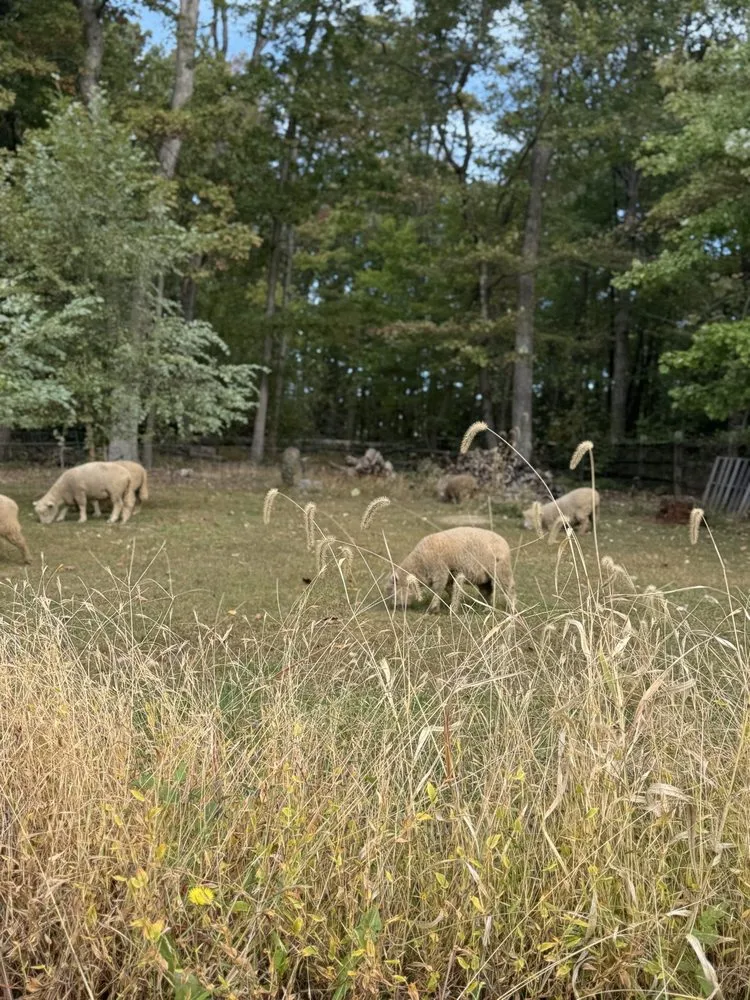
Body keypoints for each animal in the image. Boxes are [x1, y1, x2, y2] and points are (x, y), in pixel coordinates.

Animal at [382, 526, 515, 613]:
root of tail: (504, 542)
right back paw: (486, 608)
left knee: (509, 588)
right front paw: (453, 604)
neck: (420, 564)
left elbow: (438, 589)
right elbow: (450, 589)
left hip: (501, 571)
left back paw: (511, 608)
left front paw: (433, 608)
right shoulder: (450, 575)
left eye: (392, 591)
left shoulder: (440, 571)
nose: (396, 607)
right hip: (485, 577)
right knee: (487, 591)